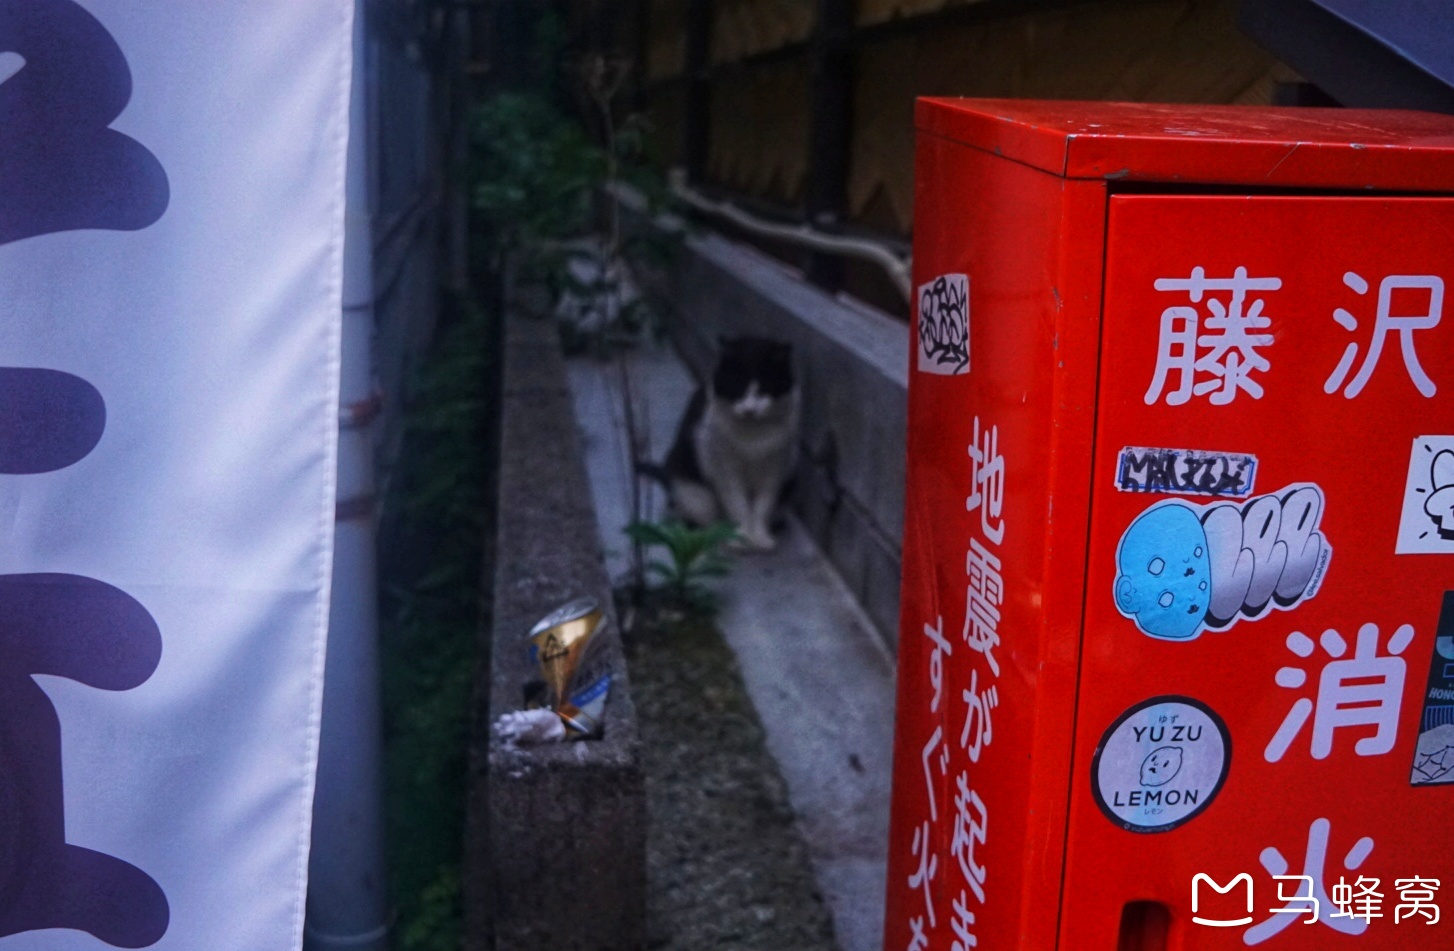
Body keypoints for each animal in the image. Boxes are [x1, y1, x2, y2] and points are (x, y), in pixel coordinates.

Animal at [654, 337, 802, 552]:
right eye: (737, 386)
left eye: (764, 388)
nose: (749, 409)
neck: (752, 438)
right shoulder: (725, 469)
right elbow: (738, 505)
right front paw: (739, 539)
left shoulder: (773, 468)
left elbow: (762, 506)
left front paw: (760, 538)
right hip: (695, 495)